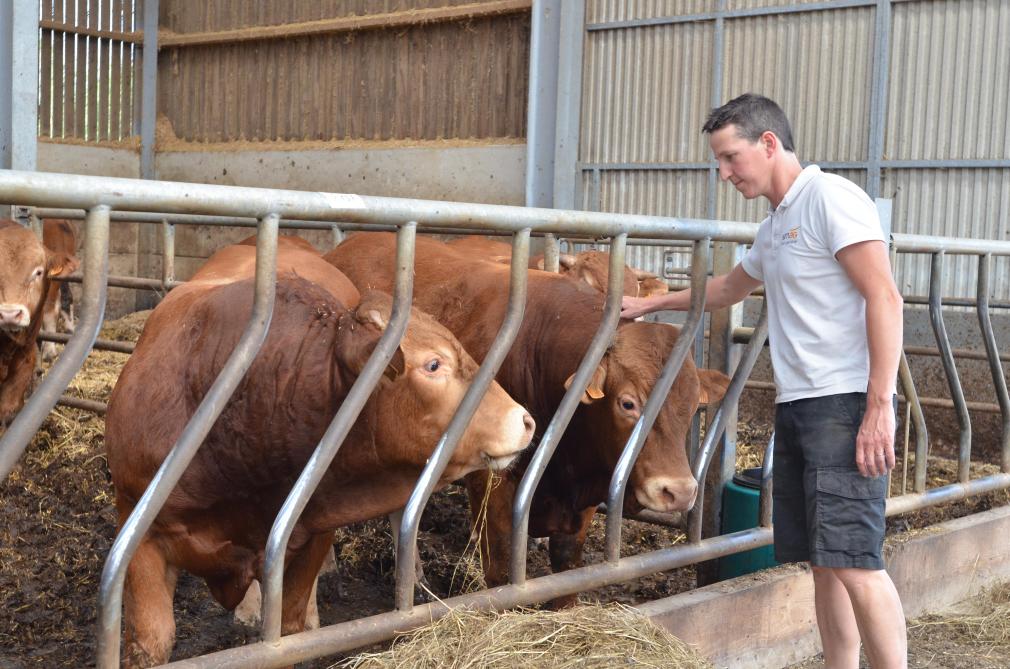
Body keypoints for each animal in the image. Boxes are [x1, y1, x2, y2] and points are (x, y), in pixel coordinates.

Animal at [107, 241, 537, 666]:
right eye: (433, 364)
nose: (525, 420)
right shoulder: (139, 530)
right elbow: (150, 643)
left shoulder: (308, 534)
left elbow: (290, 628)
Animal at [323, 234, 727, 606]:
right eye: (627, 403)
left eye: (693, 403)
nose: (679, 491)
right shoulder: (492, 483)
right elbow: (502, 573)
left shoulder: (584, 492)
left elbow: (567, 572)